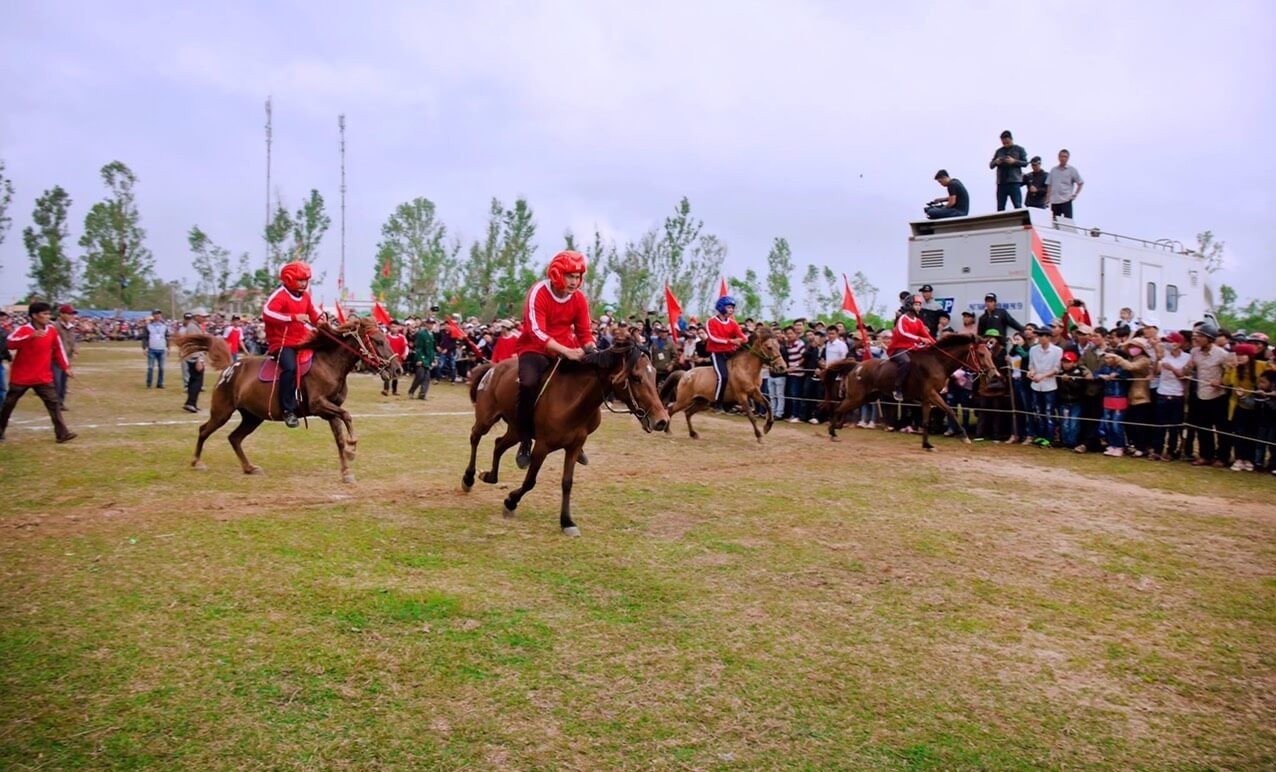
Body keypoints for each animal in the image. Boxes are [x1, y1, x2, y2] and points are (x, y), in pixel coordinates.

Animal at [172, 316, 395, 479]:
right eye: (378, 341)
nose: (396, 368)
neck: (329, 364)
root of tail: (229, 367)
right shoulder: (319, 405)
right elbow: (347, 416)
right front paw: (352, 448)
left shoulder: (331, 410)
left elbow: (340, 436)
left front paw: (346, 469)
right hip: (222, 411)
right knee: (204, 430)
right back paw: (197, 462)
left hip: (252, 417)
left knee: (234, 438)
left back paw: (249, 467)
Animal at [461, 339, 678, 535]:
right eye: (635, 377)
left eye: (654, 375)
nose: (662, 420)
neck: (571, 398)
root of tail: (493, 368)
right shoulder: (541, 447)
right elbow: (530, 481)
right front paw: (510, 502)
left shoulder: (574, 446)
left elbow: (567, 483)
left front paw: (567, 521)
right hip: (486, 418)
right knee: (475, 437)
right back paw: (469, 478)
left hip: (515, 430)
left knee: (499, 444)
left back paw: (489, 476)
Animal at [658, 326, 786, 438]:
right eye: (769, 347)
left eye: (778, 346)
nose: (782, 367)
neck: (746, 368)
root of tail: (685, 374)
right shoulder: (742, 395)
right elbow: (751, 415)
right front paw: (759, 435)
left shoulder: (754, 392)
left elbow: (768, 404)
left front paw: (767, 427)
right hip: (684, 400)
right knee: (671, 410)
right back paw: (667, 430)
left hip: (702, 401)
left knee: (688, 413)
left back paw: (693, 434)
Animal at [816, 331, 1005, 451]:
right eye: (981, 354)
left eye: (990, 353)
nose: (995, 375)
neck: (938, 362)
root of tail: (856, 365)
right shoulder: (931, 394)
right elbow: (950, 410)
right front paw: (964, 436)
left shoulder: (927, 399)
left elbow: (926, 422)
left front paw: (927, 445)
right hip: (857, 397)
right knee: (838, 408)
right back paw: (833, 432)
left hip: (865, 398)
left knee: (842, 408)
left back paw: (838, 426)